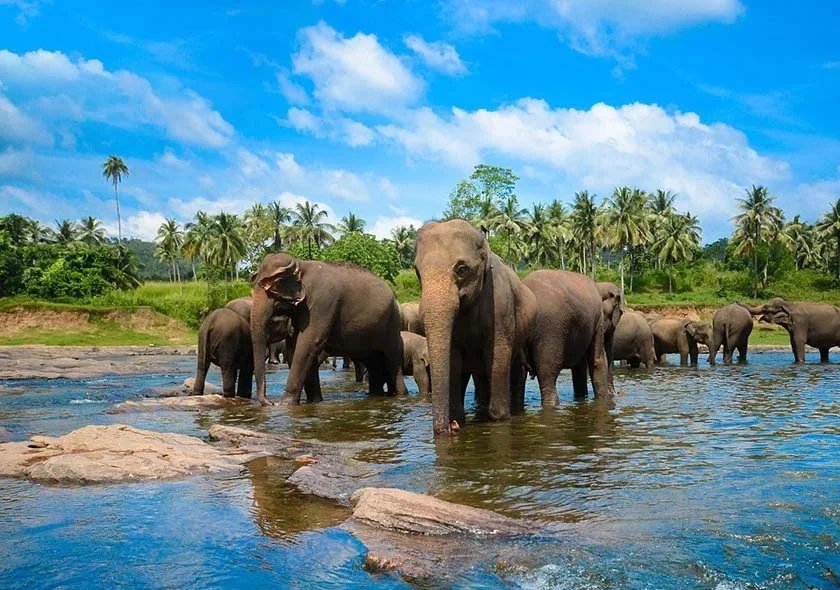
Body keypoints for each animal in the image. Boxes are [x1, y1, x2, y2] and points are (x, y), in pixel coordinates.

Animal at [250, 253, 407, 405]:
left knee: (392, 359)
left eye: (273, 288)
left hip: (392, 323)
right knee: (373, 361)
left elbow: (308, 343)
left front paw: (285, 404)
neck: (301, 264)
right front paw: (314, 401)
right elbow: (294, 348)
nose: (270, 402)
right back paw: (376, 394)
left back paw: (400, 394)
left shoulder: (323, 301)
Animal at [414, 219, 536, 436]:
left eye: (461, 269)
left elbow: (498, 354)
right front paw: (458, 419)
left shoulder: (500, 304)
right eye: (417, 272)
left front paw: (499, 418)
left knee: (516, 369)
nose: (451, 427)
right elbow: (453, 359)